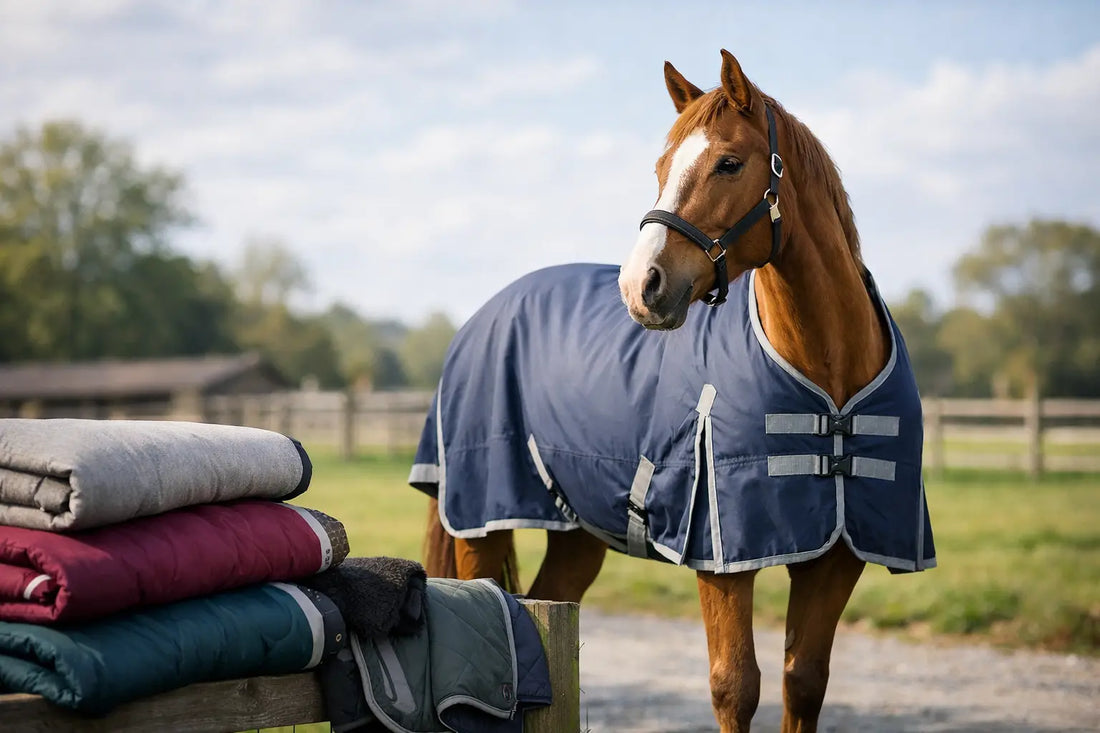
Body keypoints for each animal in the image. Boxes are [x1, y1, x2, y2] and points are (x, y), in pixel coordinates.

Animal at [412, 50, 935, 733]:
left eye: (729, 163)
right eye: (661, 168)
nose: (642, 286)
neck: (830, 381)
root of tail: (481, 317)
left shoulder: (836, 556)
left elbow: (803, 683)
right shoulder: (722, 556)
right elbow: (735, 687)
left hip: (575, 535)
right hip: (482, 522)